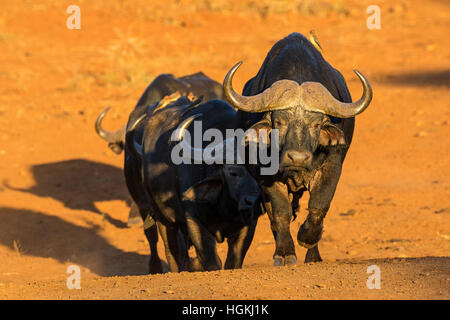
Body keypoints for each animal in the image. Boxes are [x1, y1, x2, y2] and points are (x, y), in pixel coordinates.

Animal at [221, 33, 372, 266]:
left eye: (317, 124)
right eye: (279, 122)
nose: (298, 158)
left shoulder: (332, 165)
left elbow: (319, 205)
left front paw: (307, 238)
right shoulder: (266, 176)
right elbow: (280, 212)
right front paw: (284, 253)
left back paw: (313, 257)